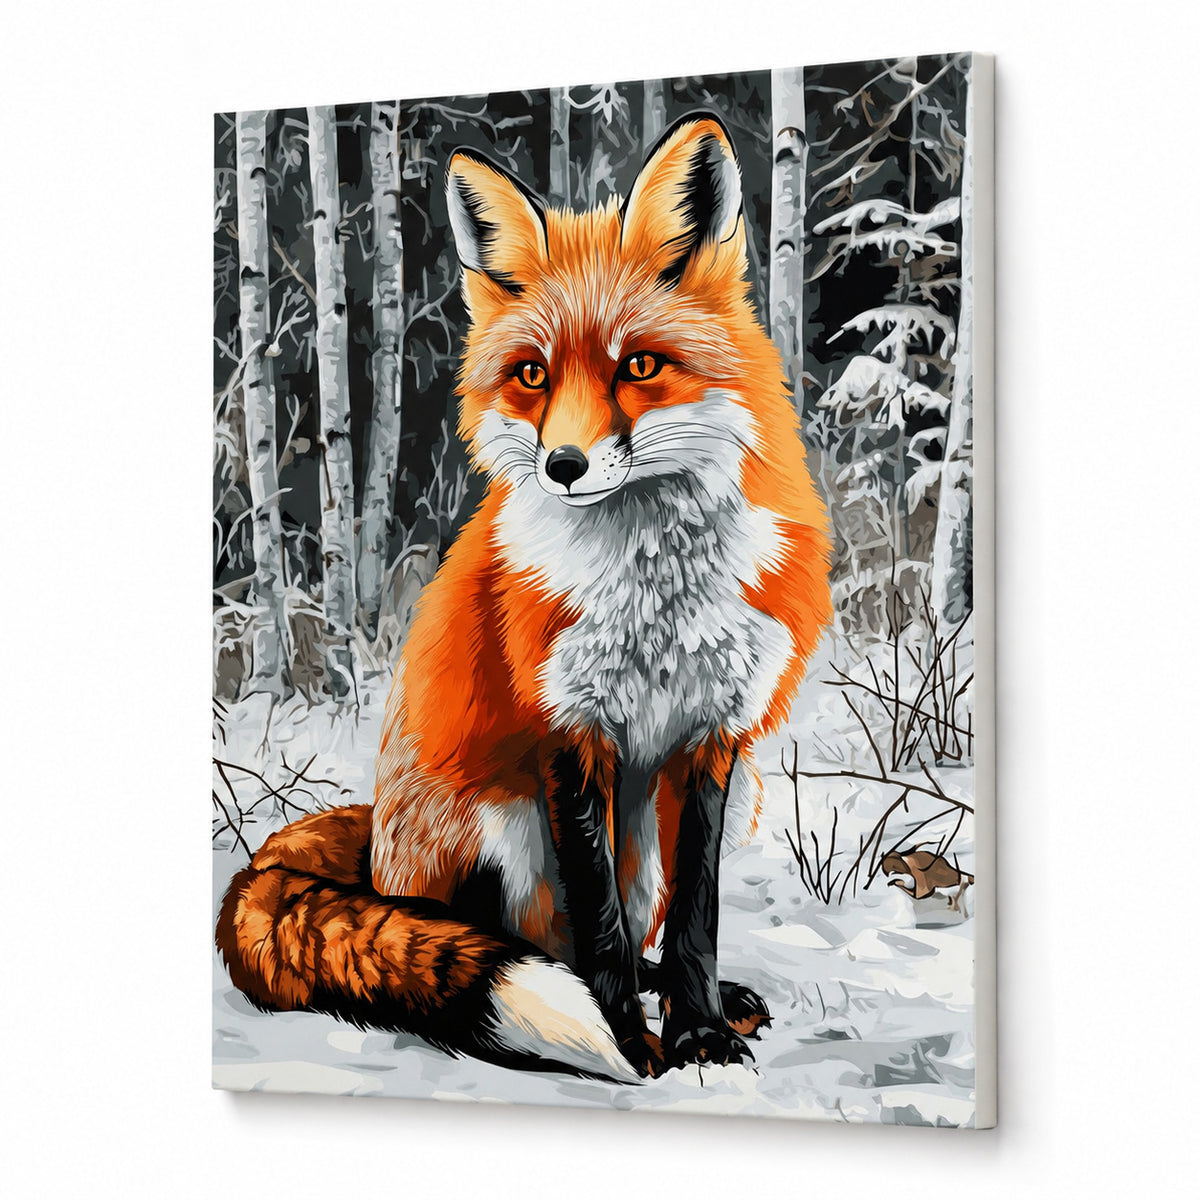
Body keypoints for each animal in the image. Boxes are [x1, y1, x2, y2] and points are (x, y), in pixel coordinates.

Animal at [217, 112, 832, 1083]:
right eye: (534, 375)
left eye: (640, 367)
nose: (564, 466)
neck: (653, 595)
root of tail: (374, 844)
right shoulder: (567, 732)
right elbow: (597, 927)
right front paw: (628, 1040)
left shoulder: (713, 736)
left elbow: (696, 918)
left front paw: (697, 1032)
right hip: (499, 824)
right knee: (521, 940)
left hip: (707, 808)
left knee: (644, 926)